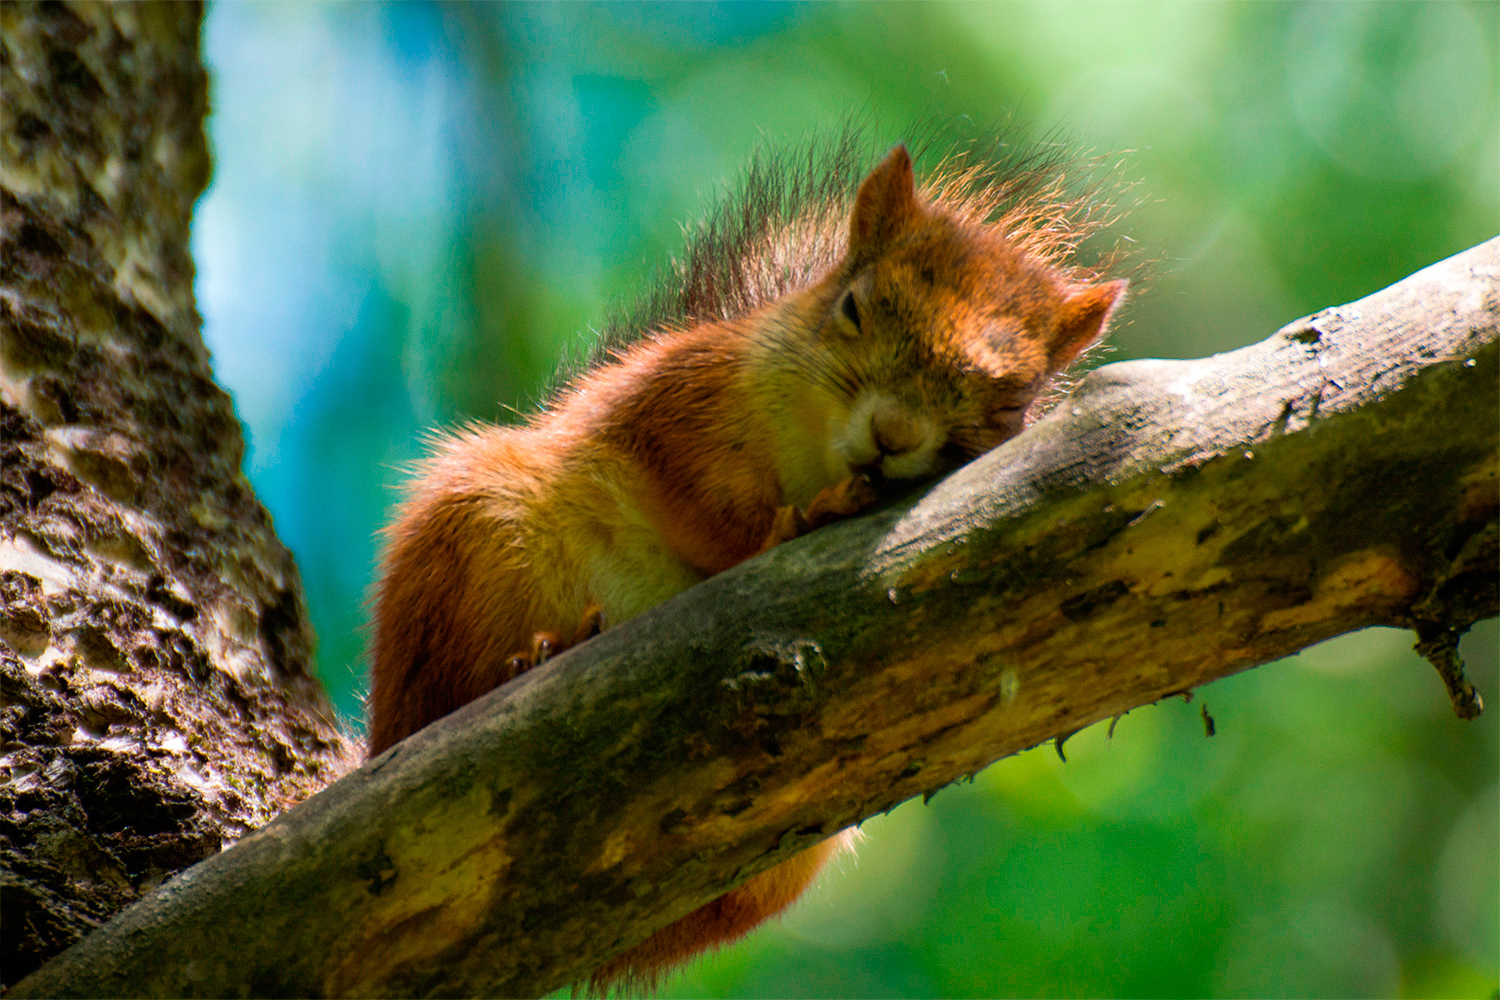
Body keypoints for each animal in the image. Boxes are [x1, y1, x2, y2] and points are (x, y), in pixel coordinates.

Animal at [369, 137, 1128, 989]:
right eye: (854, 307)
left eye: (1013, 402)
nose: (894, 435)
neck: (815, 452)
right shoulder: (674, 400)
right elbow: (707, 509)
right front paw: (791, 524)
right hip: (470, 536)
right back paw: (532, 660)